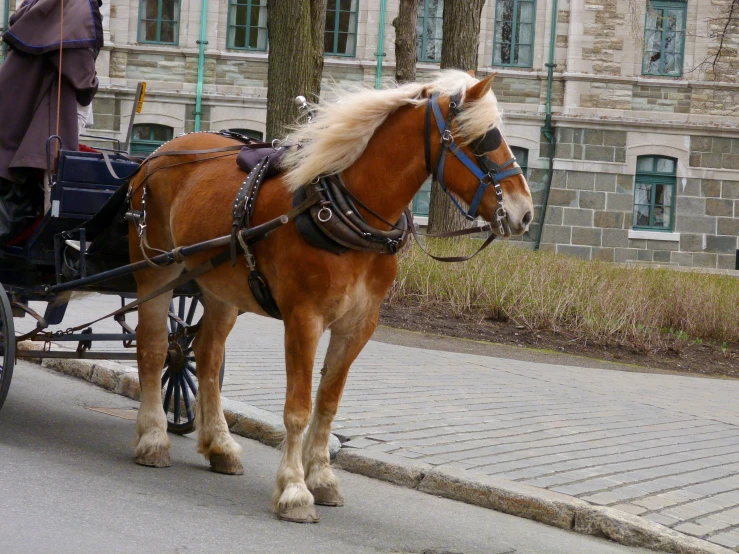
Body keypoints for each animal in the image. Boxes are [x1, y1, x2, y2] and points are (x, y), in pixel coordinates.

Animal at [125, 70, 532, 520]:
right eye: (481, 141)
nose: (525, 212)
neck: (345, 214)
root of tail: (159, 153)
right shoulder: (304, 319)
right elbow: (298, 408)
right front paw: (294, 490)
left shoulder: (358, 326)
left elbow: (328, 403)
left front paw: (320, 478)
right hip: (156, 271)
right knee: (154, 348)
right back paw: (153, 439)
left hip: (221, 288)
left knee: (208, 357)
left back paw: (220, 446)